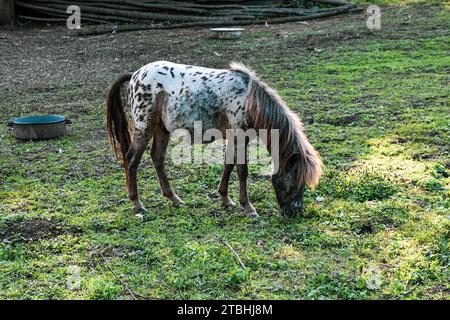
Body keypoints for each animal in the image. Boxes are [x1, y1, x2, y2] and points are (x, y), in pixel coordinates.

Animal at [107, 60, 322, 218]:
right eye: (295, 179)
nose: (295, 212)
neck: (248, 99)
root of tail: (135, 75)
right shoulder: (240, 136)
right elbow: (242, 171)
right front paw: (248, 207)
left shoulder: (233, 137)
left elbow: (228, 165)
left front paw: (226, 199)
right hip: (145, 128)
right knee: (132, 160)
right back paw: (138, 204)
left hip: (162, 128)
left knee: (157, 158)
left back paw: (174, 199)